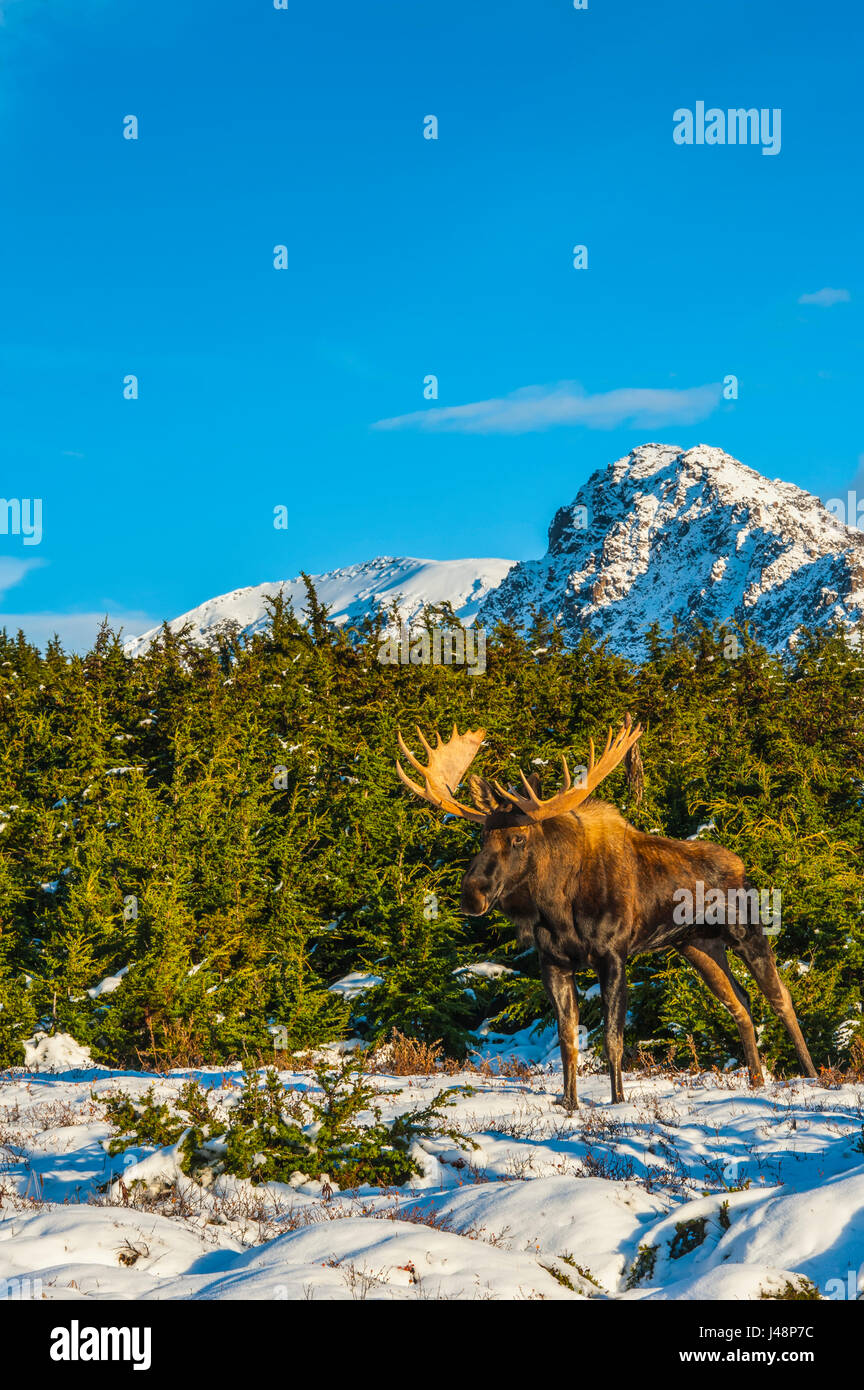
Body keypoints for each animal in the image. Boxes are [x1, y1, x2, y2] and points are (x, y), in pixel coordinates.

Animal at [396, 718, 817, 1106]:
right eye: (483, 836)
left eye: (518, 838)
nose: (472, 894)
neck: (557, 907)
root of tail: (741, 866)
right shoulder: (553, 962)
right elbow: (568, 1039)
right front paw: (569, 1104)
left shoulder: (612, 954)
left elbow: (613, 1038)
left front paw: (617, 1102)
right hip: (696, 946)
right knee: (740, 1002)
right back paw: (757, 1081)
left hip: (746, 930)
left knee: (781, 997)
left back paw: (812, 1076)